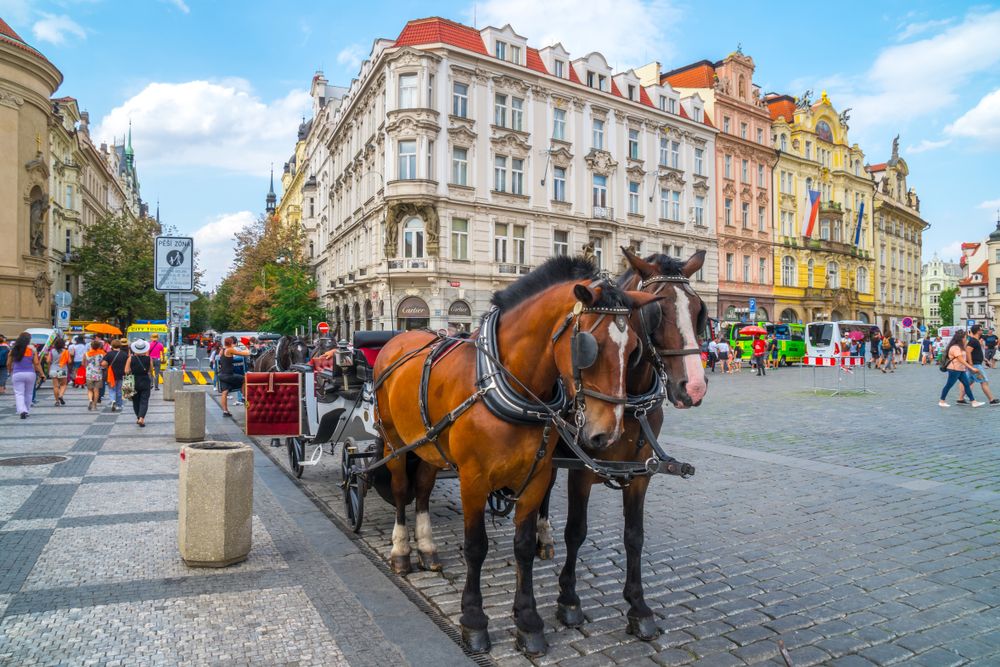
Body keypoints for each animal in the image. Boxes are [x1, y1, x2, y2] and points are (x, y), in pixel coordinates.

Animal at [372, 258, 660, 656]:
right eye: (588, 346)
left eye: (633, 349)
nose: (608, 433)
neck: (507, 382)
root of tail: (400, 338)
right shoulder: (473, 480)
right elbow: (475, 547)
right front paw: (474, 621)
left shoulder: (536, 477)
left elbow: (523, 547)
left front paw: (528, 621)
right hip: (394, 441)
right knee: (402, 491)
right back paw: (402, 551)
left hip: (428, 445)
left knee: (425, 490)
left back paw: (427, 548)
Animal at [540, 249, 712, 640]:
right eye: (657, 311)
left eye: (698, 310)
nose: (694, 388)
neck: (628, 400)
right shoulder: (581, 471)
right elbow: (576, 531)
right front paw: (569, 600)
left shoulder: (641, 473)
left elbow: (634, 536)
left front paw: (638, 606)